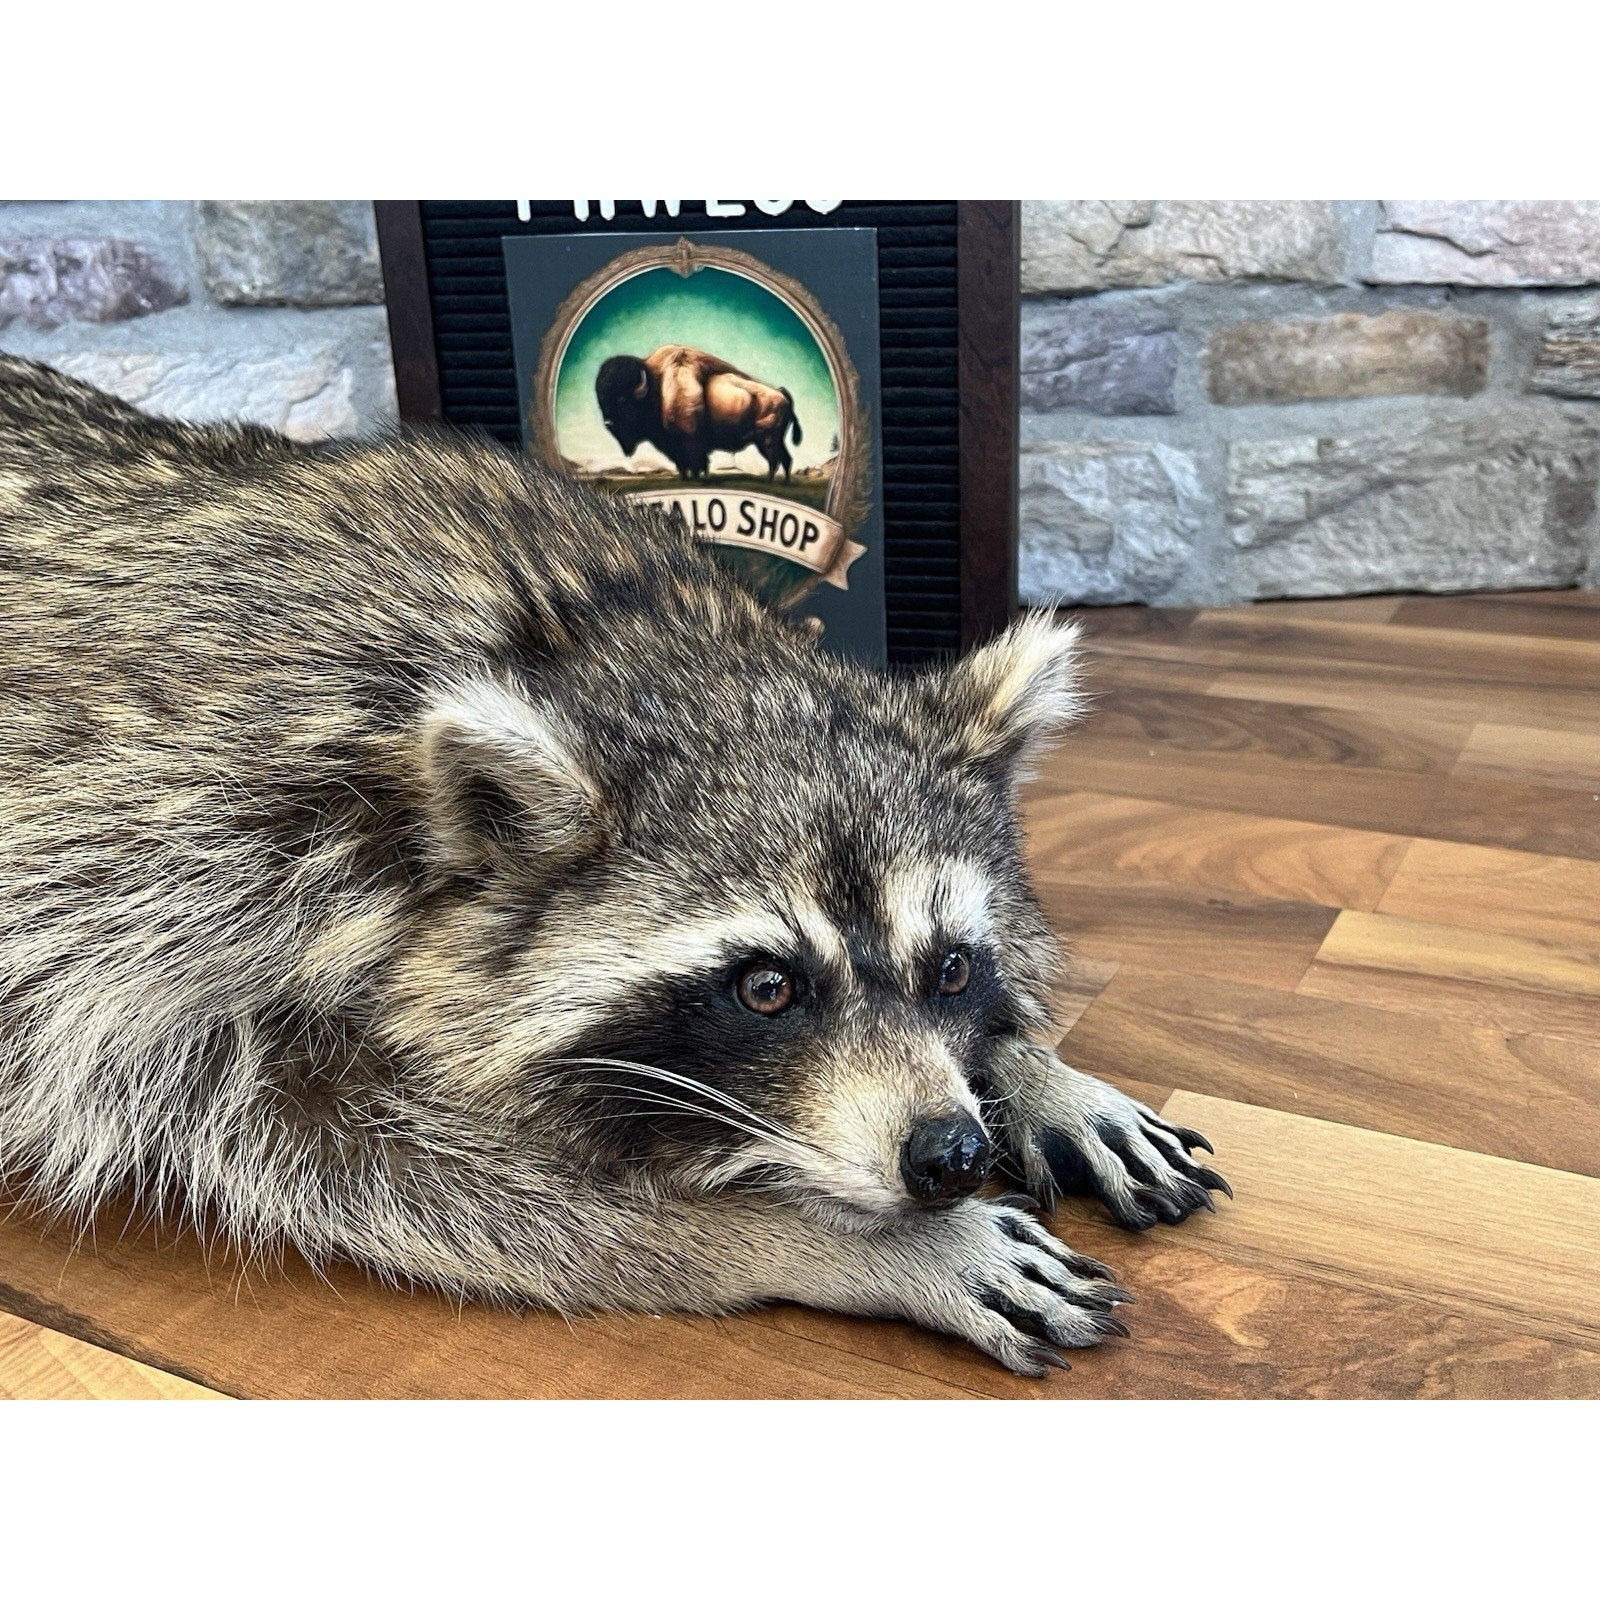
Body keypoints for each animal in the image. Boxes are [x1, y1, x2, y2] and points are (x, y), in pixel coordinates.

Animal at [0, 355, 1227, 1376]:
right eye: (767, 986)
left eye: (954, 969)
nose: (950, 1156)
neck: (608, 639)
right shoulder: (175, 864)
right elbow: (327, 1148)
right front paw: (812, 1235)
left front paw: (1028, 1067)